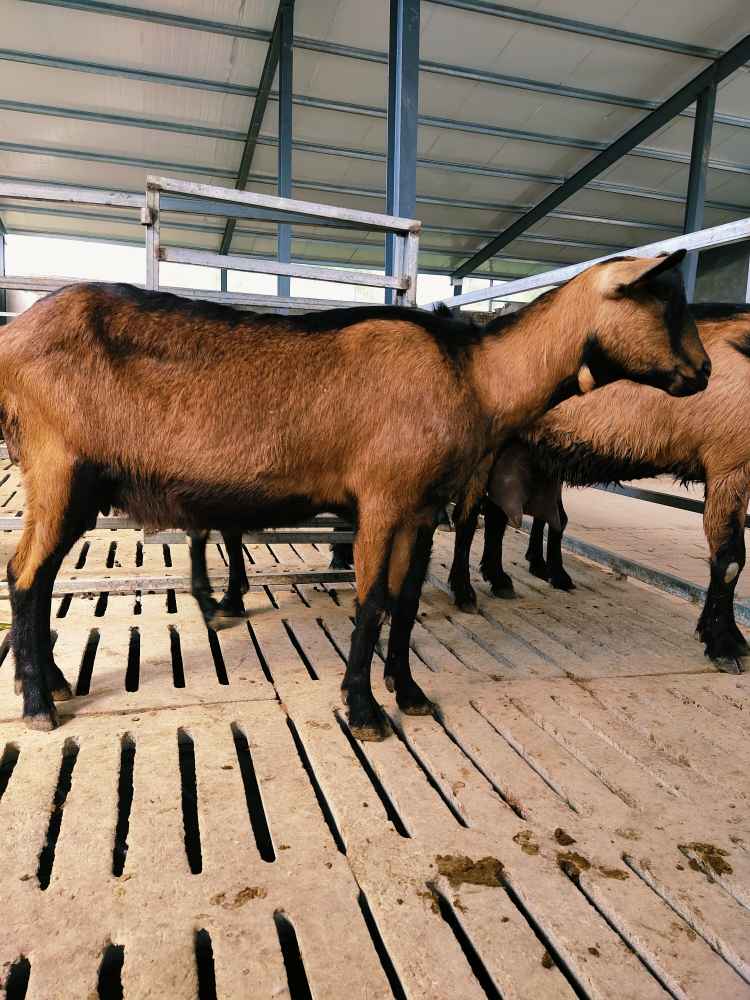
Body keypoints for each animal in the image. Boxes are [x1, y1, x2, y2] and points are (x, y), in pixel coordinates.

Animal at [1, 254, 712, 736]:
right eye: (662, 300)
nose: (704, 372)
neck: (473, 373)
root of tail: (12, 341)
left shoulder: (423, 508)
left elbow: (405, 601)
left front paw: (409, 692)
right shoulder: (384, 497)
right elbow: (371, 601)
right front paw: (366, 709)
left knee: (30, 572)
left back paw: (50, 682)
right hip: (58, 465)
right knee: (29, 573)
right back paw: (39, 705)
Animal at [452, 304, 750, 672]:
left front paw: (723, 636)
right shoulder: (729, 461)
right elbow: (730, 560)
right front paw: (724, 644)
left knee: (497, 514)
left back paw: (499, 579)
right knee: (468, 515)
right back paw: (464, 592)